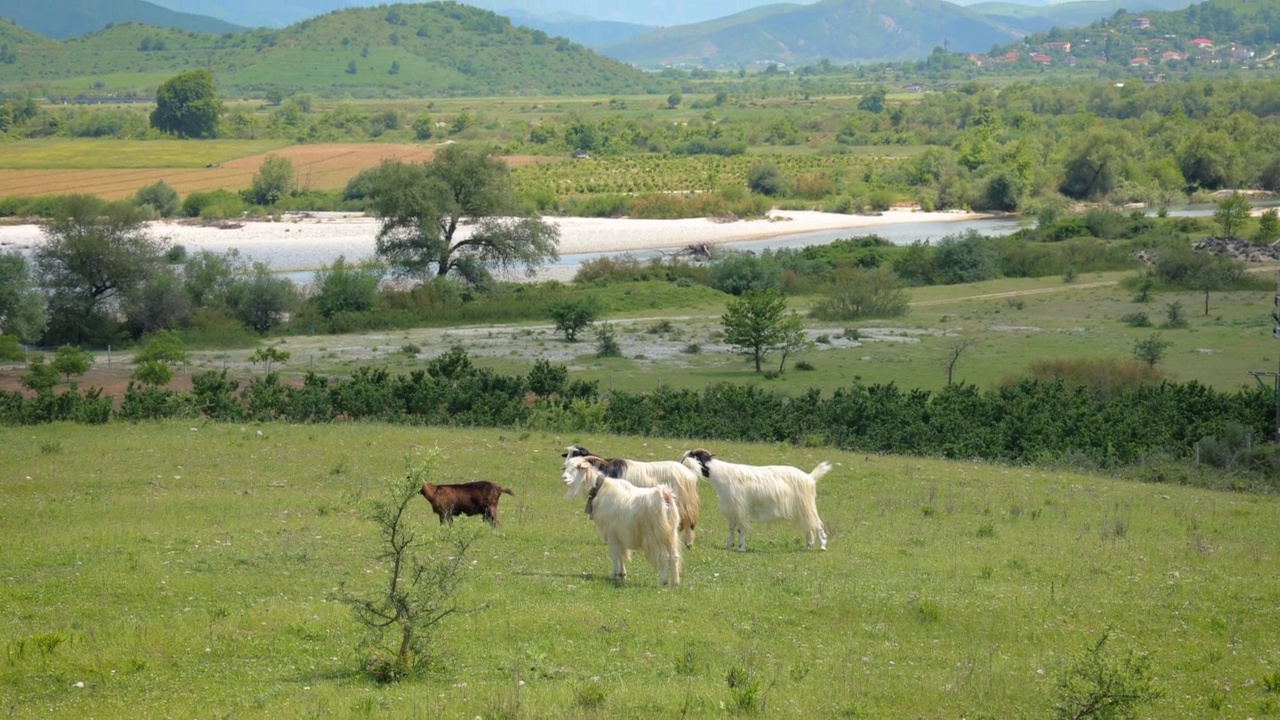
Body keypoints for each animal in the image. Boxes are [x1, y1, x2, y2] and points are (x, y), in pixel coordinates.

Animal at [560, 453, 680, 584]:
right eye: (566, 466)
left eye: (579, 467)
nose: (564, 478)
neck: (600, 488)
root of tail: (664, 495)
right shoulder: (619, 536)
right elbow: (622, 555)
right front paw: (622, 574)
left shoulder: (611, 534)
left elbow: (615, 555)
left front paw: (614, 574)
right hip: (671, 534)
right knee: (674, 556)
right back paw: (676, 582)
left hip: (657, 536)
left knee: (665, 556)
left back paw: (663, 581)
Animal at [563, 440, 701, 545]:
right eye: (568, 455)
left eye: (577, 454)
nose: (563, 468)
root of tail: (688, 471)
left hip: (684, 503)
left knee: (690, 522)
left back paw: (688, 543)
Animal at [680, 445, 829, 550]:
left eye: (693, 456)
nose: (681, 464)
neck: (721, 474)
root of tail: (810, 477)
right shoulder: (732, 509)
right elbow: (731, 528)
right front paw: (729, 545)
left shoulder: (740, 509)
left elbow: (741, 529)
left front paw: (741, 548)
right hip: (801, 508)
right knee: (809, 525)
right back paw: (809, 545)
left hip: (806, 505)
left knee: (817, 524)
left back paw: (822, 546)